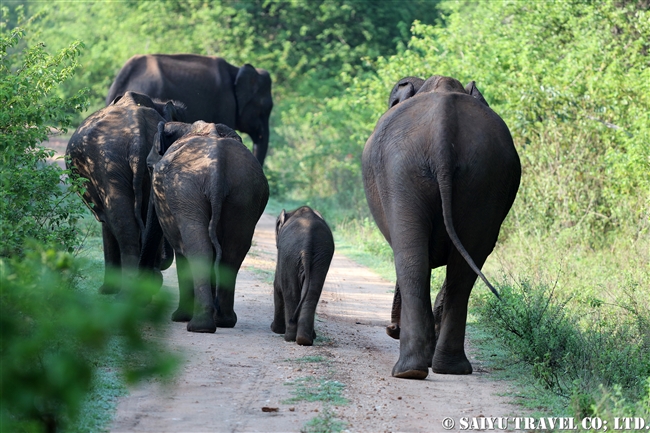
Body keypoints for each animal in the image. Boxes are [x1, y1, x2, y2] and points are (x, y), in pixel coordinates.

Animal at [66, 91, 185, 294]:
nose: (162, 261)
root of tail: (138, 136)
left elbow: (107, 224)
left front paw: (106, 291)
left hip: (108, 164)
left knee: (122, 223)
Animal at [140, 120, 270, 332]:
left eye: (150, 168)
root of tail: (217, 169)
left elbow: (182, 250)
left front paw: (179, 317)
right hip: (245, 193)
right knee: (233, 252)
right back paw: (223, 321)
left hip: (186, 192)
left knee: (198, 249)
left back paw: (199, 325)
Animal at [270, 205, 336, 344]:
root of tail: (308, 240)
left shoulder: (281, 257)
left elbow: (277, 286)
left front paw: (275, 330)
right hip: (321, 256)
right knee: (312, 292)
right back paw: (304, 339)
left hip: (290, 255)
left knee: (290, 292)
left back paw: (289, 337)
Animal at [362, 74, 520, 378]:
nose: (391, 329)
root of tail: (442, 132)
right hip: (483, 177)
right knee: (462, 268)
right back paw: (446, 368)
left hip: (403, 172)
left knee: (411, 259)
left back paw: (411, 369)